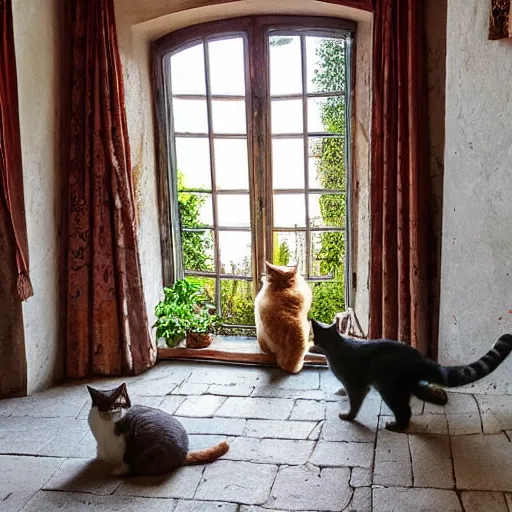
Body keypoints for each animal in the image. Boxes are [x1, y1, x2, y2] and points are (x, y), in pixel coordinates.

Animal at [310, 320, 512, 432]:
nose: (311, 341)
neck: (337, 346)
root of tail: (421, 358)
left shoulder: (356, 386)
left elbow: (354, 405)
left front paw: (348, 416)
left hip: (389, 388)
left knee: (405, 412)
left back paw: (396, 426)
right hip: (406, 386)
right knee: (422, 396)